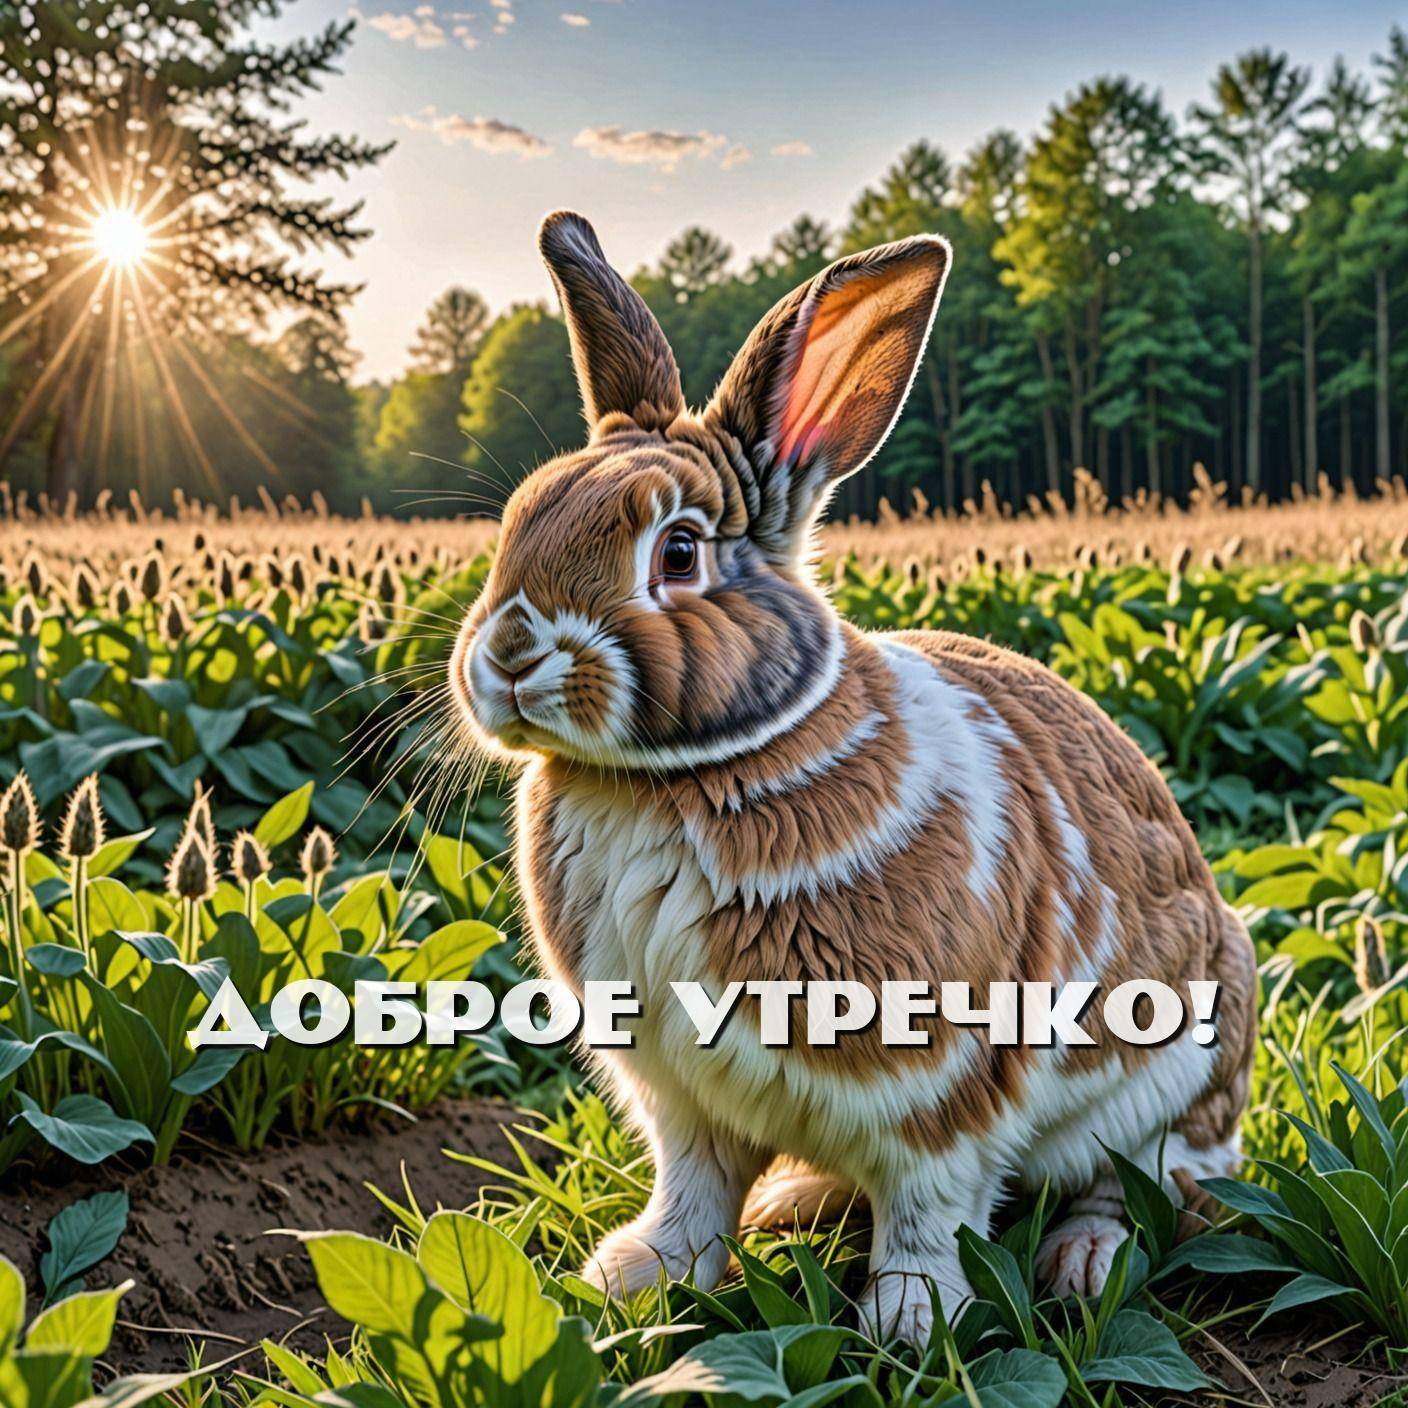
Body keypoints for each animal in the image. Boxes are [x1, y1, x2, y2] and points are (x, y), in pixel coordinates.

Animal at [449, 209, 1258, 1344]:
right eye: (520, 519)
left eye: (679, 552)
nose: (511, 655)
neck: (673, 777)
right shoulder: (680, 1093)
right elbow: (693, 1189)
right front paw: (636, 1275)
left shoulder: (938, 1088)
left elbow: (930, 1204)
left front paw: (911, 1323)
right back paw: (795, 1201)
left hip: (1172, 1079)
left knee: (1154, 1180)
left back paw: (1085, 1260)